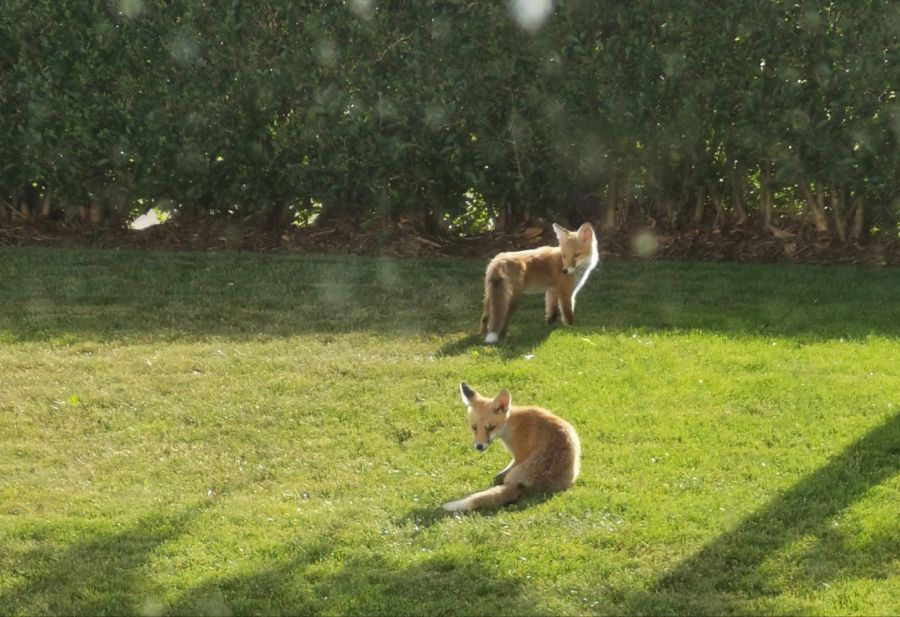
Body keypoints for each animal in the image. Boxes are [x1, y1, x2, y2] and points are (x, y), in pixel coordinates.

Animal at [442, 382, 584, 512]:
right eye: (474, 427)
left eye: (491, 428)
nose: (479, 446)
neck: (511, 424)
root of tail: (525, 486)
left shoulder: (518, 456)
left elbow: (499, 476)